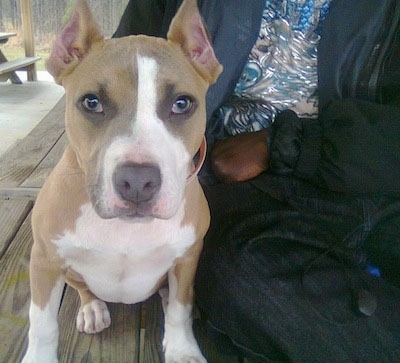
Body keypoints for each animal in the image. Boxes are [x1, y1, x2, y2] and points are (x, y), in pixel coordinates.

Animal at [21, 0, 222, 363]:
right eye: (91, 102)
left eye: (182, 104)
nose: (138, 181)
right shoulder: (44, 258)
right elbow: (41, 322)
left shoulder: (187, 258)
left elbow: (180, 309)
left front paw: (183, 349)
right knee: (83, 288)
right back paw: (92, 309)